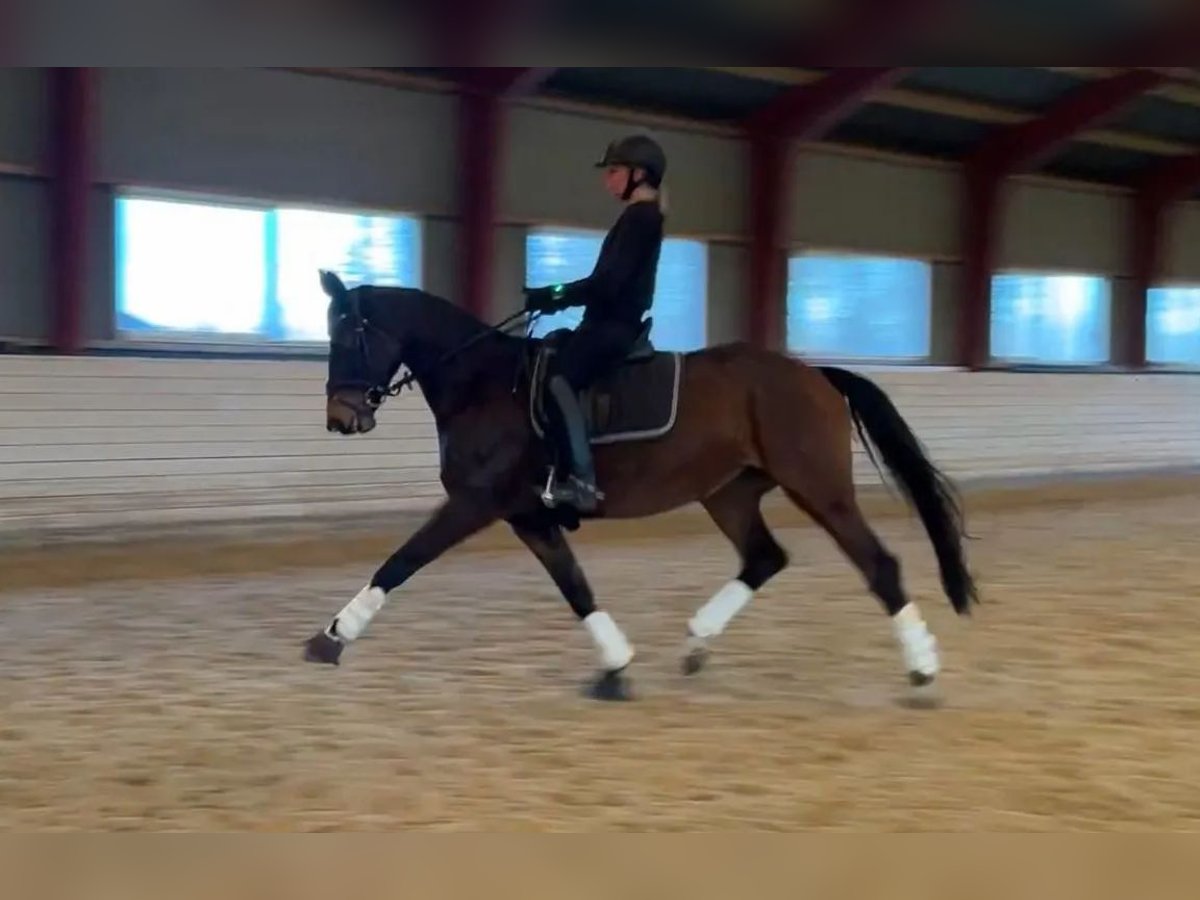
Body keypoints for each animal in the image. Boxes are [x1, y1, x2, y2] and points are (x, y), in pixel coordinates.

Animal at [305, 270, 977, 701]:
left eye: (347, 334)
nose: (341, 418)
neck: (483, 384)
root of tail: (815, 375)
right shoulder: (527, 513)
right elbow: (575, 586)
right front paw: (615, 665)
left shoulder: (474, 503)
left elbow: (401, 561)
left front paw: (331, 637)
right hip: (728, 493)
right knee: (764, 556)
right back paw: (698, 643)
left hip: (818, 489)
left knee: (878, 566)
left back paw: (923, 669)